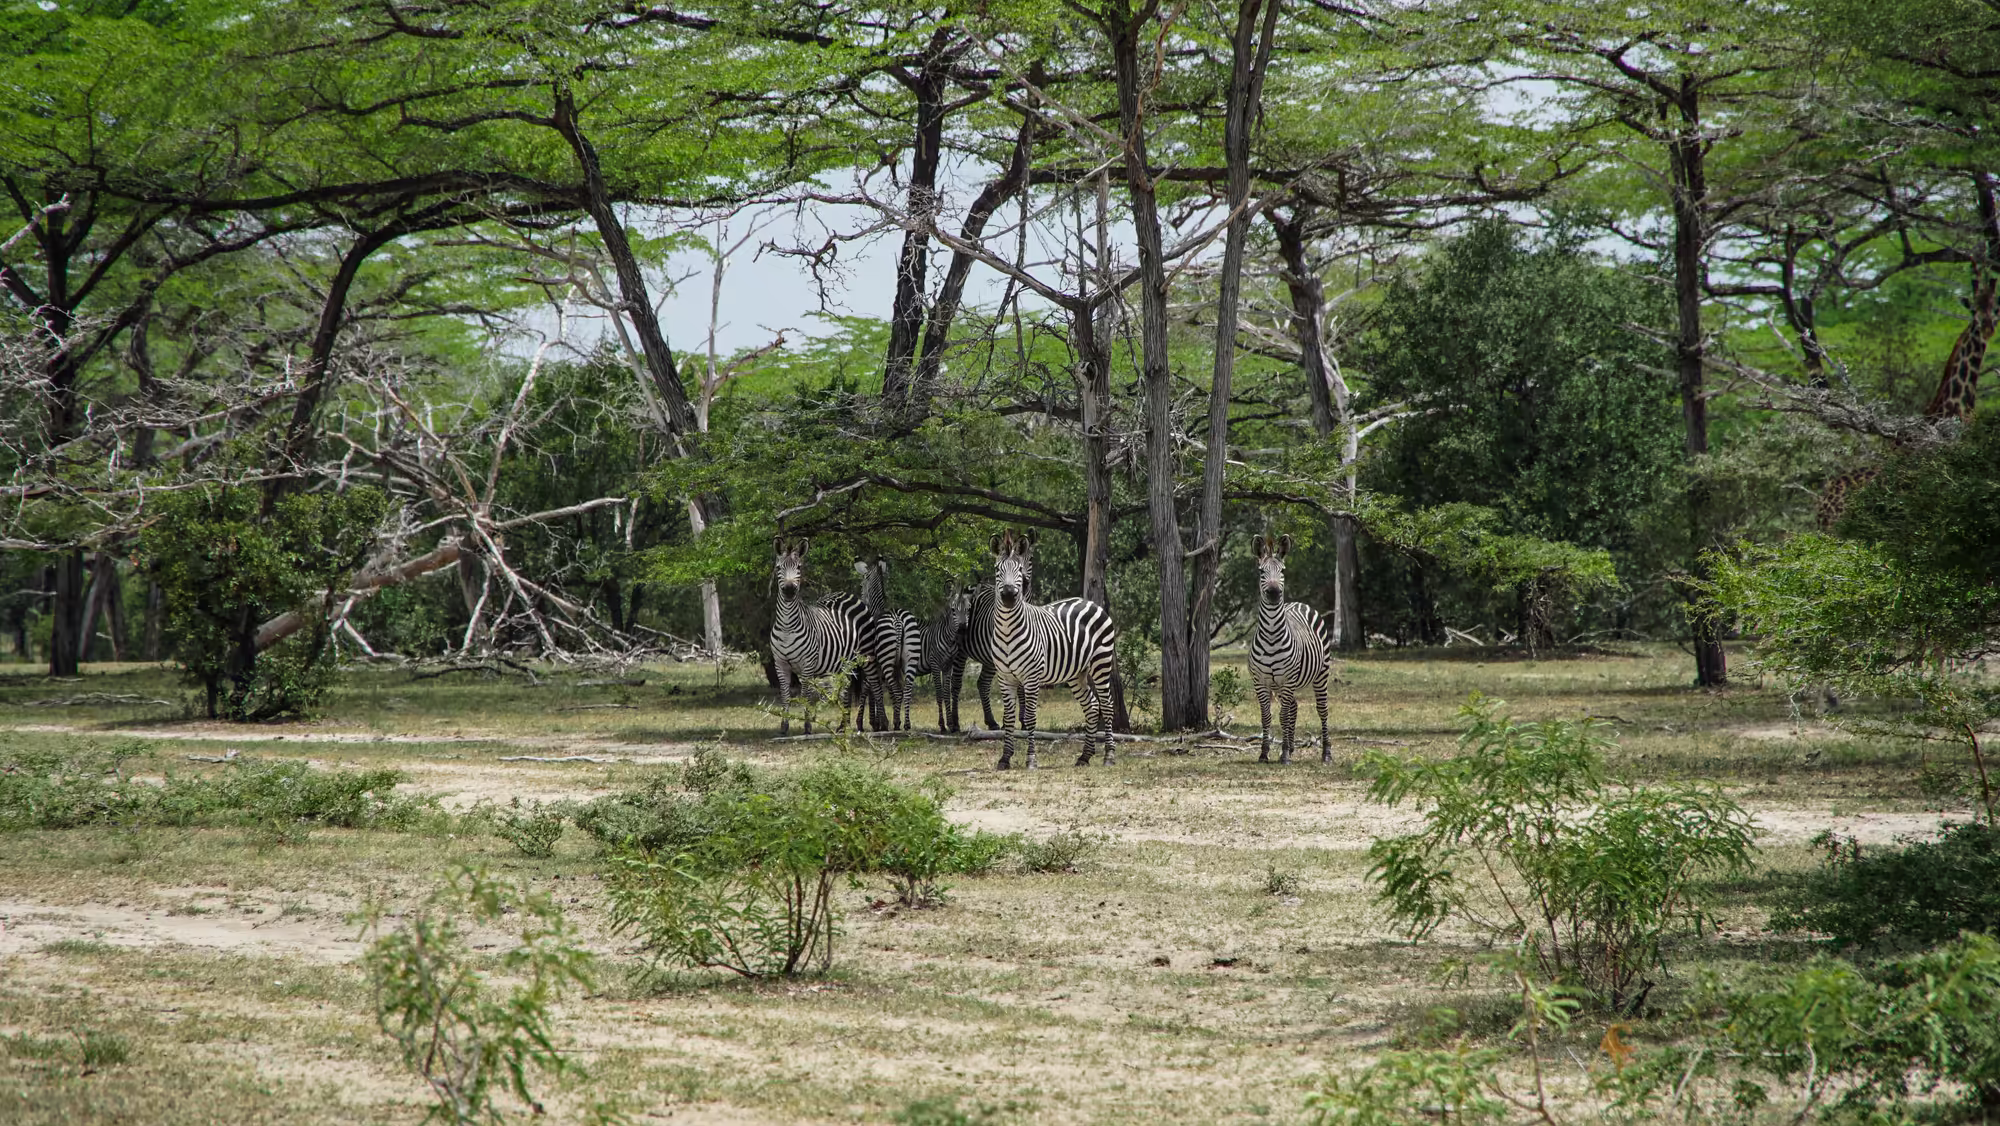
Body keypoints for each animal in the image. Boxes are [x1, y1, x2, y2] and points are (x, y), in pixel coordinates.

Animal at [769, 537, 869, 736]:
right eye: (778, 567)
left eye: (799, 567)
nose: (789, 590)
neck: (787, 626)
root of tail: (843, 593)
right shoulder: (780, 663)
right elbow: (785, 694)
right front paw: (784, 726)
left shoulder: (807, 664)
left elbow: (806, 694)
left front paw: (807, 727)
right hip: (841, 664)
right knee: (845, 688)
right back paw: (842, 726)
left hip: (859, 659)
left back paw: (850, 725)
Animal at [987, 529, 1117, 770]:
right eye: (997, 570)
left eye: (1020, 570)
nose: (1009, 595)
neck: (1008, 631)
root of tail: (1090, 602)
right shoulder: (1004, 677)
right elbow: (1008, 719)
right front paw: (1005, 758)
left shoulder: (1031, 677)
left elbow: (1030, 717)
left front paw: (1031, 759)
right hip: (1076, 673)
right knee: (1092, 706)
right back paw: (1085, 756)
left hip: (1101, 664)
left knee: (1106, 705)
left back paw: (1109, 756)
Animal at [1248, 533, 1332, 764]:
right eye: (1261, 571)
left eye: (1283, 571)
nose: (1274, 593)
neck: (1271, 635)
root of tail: (1299, 603)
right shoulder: (1260, 681)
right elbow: (1267, 716)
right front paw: (1265, 753)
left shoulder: (1287, 679)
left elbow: (1283, 715)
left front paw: (1284, 753)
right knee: (1294, 706)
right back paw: (1293, 747)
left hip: (1321, 674)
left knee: (1322, 710)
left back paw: (1326, 753)